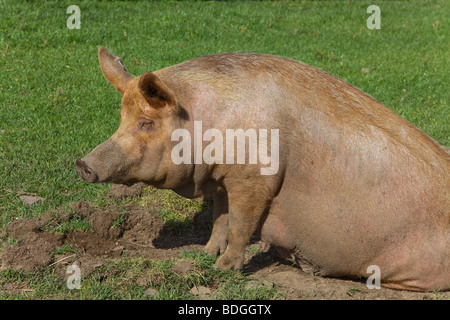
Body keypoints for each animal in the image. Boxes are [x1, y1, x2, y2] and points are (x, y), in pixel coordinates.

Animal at [76, 47, 446, 292]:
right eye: (122, 118)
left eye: (146, 122)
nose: (82, 164)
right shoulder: (223, 178)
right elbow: (219, 218)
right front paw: (205, 252)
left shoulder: (254, 178)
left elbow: (241, 224)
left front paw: (222, 268)